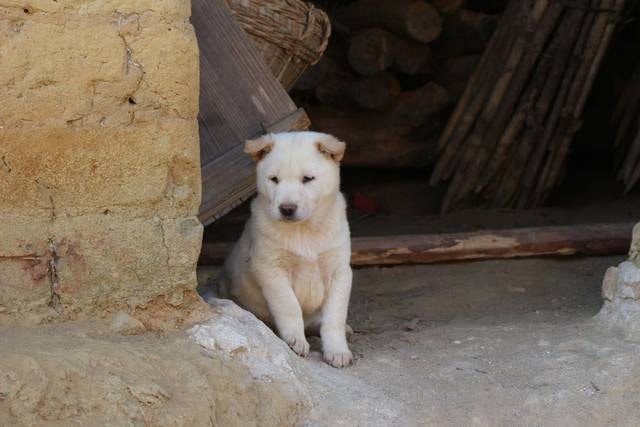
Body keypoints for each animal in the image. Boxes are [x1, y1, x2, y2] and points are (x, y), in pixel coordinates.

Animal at [218, 131, 353, 368]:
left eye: (307, 179)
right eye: (274, 179)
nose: (287, 209)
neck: (304, 230)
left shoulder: (340, 271)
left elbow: (334, 317)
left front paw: (337, 350)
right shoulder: (270, 269)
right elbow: (289, 306)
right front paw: (295, 340)